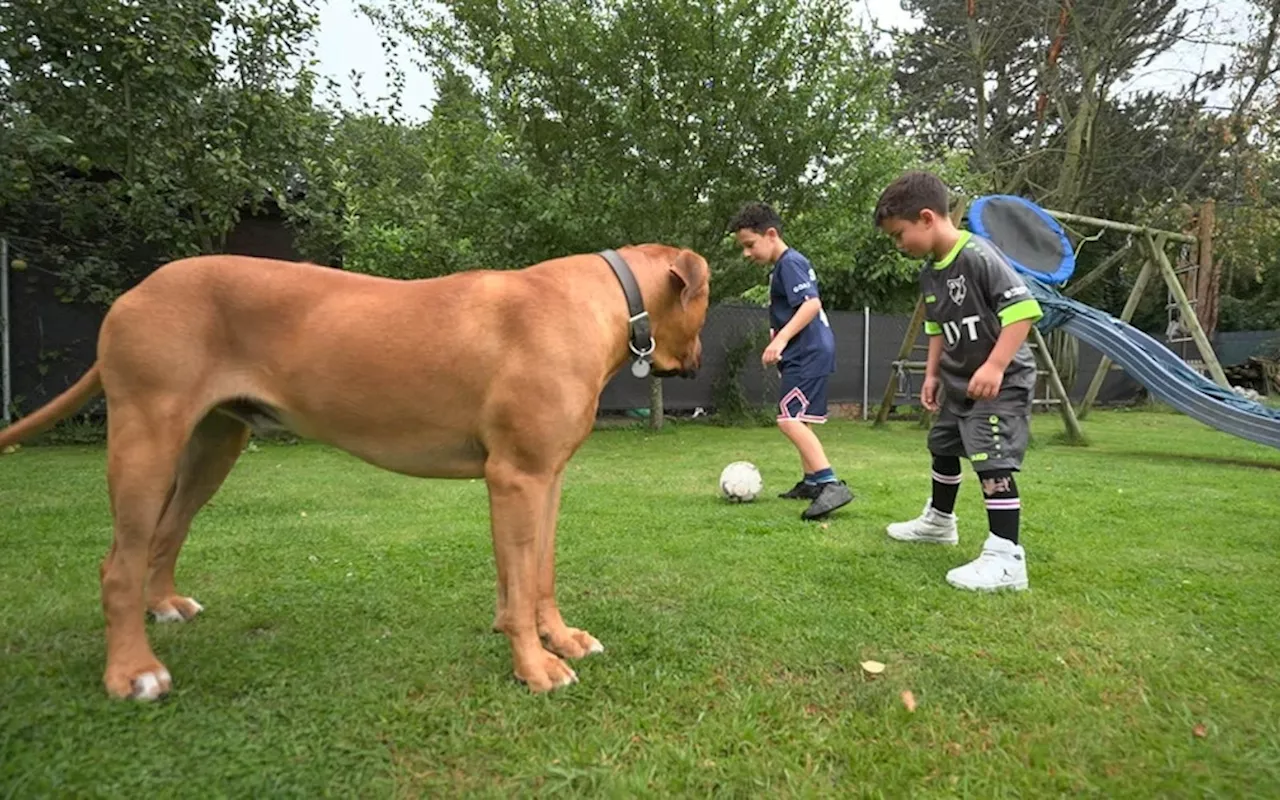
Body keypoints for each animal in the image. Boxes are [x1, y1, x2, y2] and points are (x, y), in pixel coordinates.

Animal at [0, 243, 711, 696]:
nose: (701, 358)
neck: (607, 299)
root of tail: (134, 292)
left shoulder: (548, 479)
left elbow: (538, 576)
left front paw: (555, 638)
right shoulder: (516, 478)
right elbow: (519, 582)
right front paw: (533, 668)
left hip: (212, 444)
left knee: (164, 535)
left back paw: (164, 607)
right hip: (146, 439)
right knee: (117, 563)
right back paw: (131, 671)